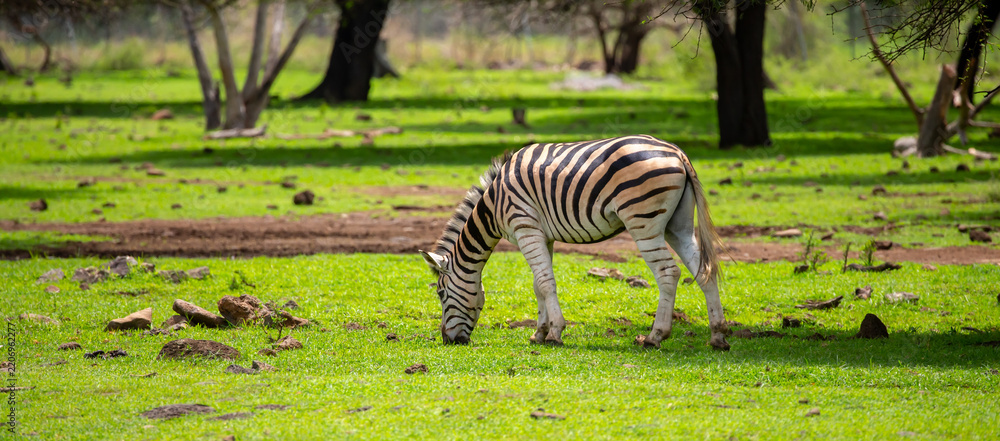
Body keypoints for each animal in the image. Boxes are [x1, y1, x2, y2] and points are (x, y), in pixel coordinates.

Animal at [420, 134, 731, 351]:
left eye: (441, 294)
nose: (447, 340)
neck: (494, 205)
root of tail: (678, 153)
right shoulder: (542, 234)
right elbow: (538, 285)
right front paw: (539, 333)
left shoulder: (525, 227)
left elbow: (545, 282)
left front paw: (555, 332)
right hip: (677, 226)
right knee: (703, 271)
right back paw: (717, 336)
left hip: (644, 222)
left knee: (668, 273)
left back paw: (655, 337)